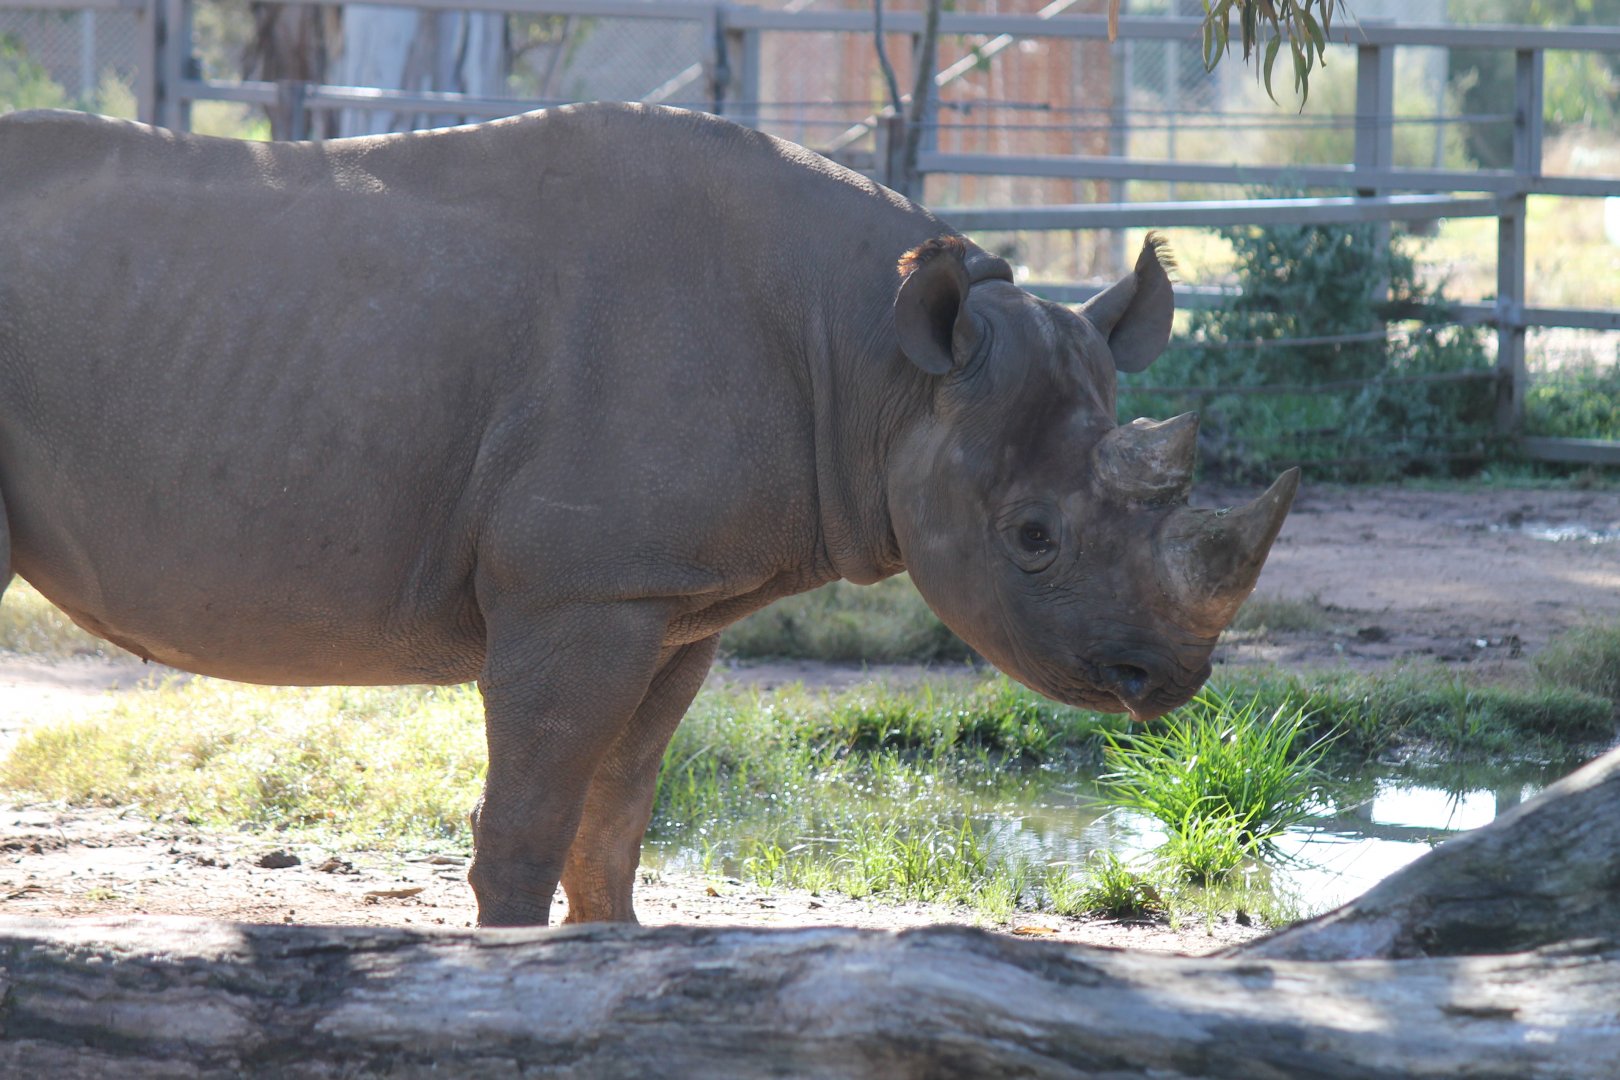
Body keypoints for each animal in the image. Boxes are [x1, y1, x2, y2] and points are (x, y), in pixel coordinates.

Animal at [0, 102, 1296, 926]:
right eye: (1031, 538)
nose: (1166, 679)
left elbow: (613, 827)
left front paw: (614, 964)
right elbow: (526, 831)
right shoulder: (575, 592)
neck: (879, 370)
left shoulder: (669, 600)